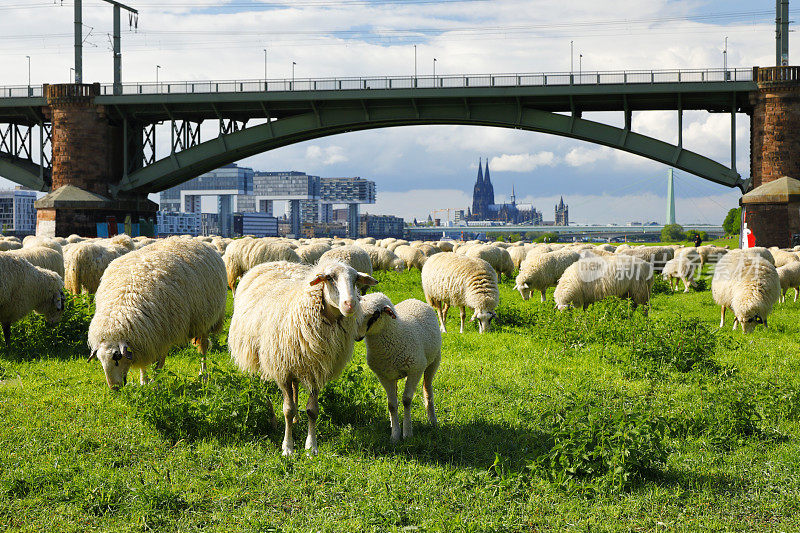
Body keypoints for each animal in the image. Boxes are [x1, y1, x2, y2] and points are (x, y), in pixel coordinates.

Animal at [88, 237, 228, 386]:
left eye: (117, 357)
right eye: (100, 360)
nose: (114, 388)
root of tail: (192, 240)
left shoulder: (165, 333)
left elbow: (159, 363)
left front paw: (155, 383)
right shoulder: (145, 337)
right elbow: (144, 363)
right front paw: (144, 381)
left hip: (206, 320)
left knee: (203, 348)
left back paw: (204, 375)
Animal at [228, 258, 378, 454]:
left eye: (355, 280)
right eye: (329, 278)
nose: (350, 304)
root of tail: (277, 262)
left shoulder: (316, 369)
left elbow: (312, 410)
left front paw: (311, 446)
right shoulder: (282, 370)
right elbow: (287, 409)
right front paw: (288, 447)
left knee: (295, 387)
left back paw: (296, 420)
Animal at [358, 290, 440, 440]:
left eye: (376, 314)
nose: (357, 336)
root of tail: (413, 299)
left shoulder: (415, 370)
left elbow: (406, 400)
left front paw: (407, 433)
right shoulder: (383, 376)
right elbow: (391, 405)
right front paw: (395, 435)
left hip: (434, 360)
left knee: (427, 388)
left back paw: (432, 420)